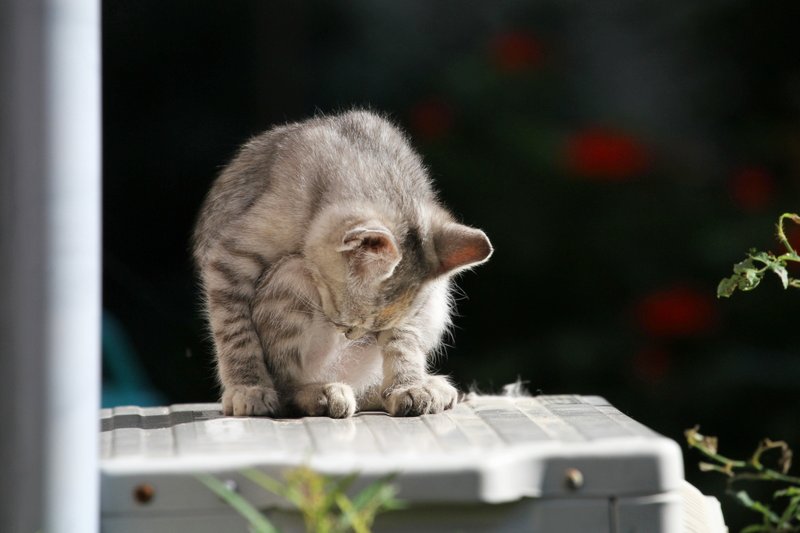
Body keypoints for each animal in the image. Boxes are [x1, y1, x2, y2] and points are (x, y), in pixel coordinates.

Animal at [195, 110, 494, 418]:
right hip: (293, 276)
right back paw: (320, 392)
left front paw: (408, 386)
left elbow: (403, 341)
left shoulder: (413, 310)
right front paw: (248, 387)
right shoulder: (229, 257)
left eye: (375, 328)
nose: (356, 337)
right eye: (345, 321)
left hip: (439, 297)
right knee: (287, 387)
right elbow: (235, 330)